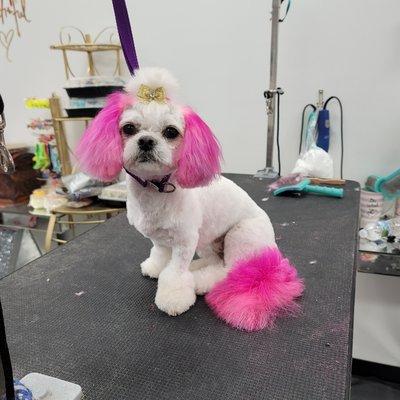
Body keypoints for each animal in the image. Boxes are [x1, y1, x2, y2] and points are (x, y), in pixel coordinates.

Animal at [76, 68, 304, 332]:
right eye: (129, 128)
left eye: (170, 132)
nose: (146, 141)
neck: (155, 190)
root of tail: (273, 253)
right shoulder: (160, 238)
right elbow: (160, 254)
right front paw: (156, 267)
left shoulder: (185, 241)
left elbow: (175, 273)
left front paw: (173, 297)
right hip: (207, 238)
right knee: (215, 260)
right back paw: (197, 269)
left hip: (240, 236)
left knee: (228, 271)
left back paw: (199, 281)